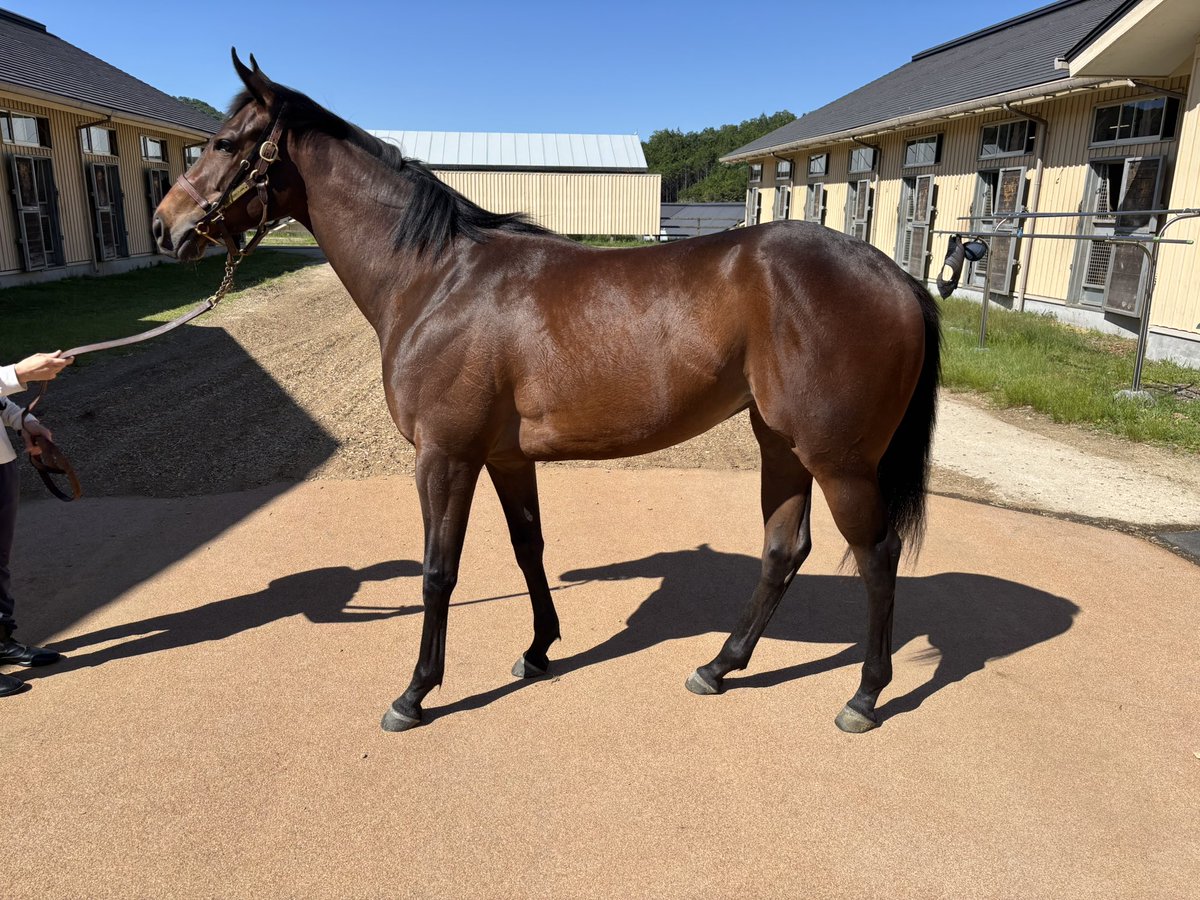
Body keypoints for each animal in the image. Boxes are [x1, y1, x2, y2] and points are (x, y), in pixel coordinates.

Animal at [153, 51, 940, 735]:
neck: (435, 278)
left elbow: (438, 572)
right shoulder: (505, 457)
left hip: (839, 460)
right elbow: (528, 547)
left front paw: (416, 692)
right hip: (780, 445)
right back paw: (719, 666)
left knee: (876, 557)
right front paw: (538, 651)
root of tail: (897, 277)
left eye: (224, 142)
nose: (166, 228)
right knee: (784, 550)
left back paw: (864, 696)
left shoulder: (445, 457)